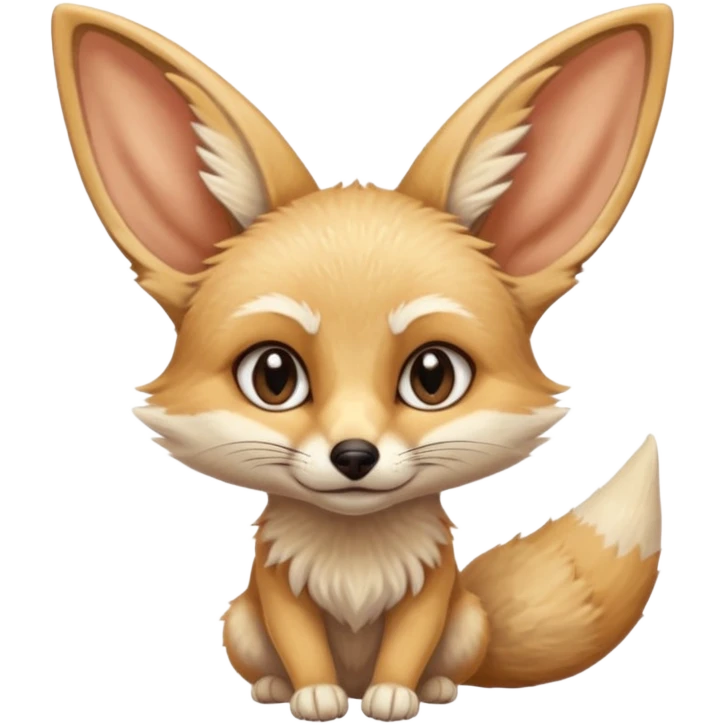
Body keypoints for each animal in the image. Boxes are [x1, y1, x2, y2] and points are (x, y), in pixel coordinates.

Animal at [50, 2, 671, 721]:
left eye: (432, 377)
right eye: (273, 376)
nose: (354, 456)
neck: (354, 554)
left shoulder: (432, 589)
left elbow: (407, 644)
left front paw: (394, 694)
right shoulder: (275, 588)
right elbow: (301, 645)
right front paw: (314, 694)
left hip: (468, 620)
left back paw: (433, 688)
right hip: (238, 621)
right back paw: (276, 689)